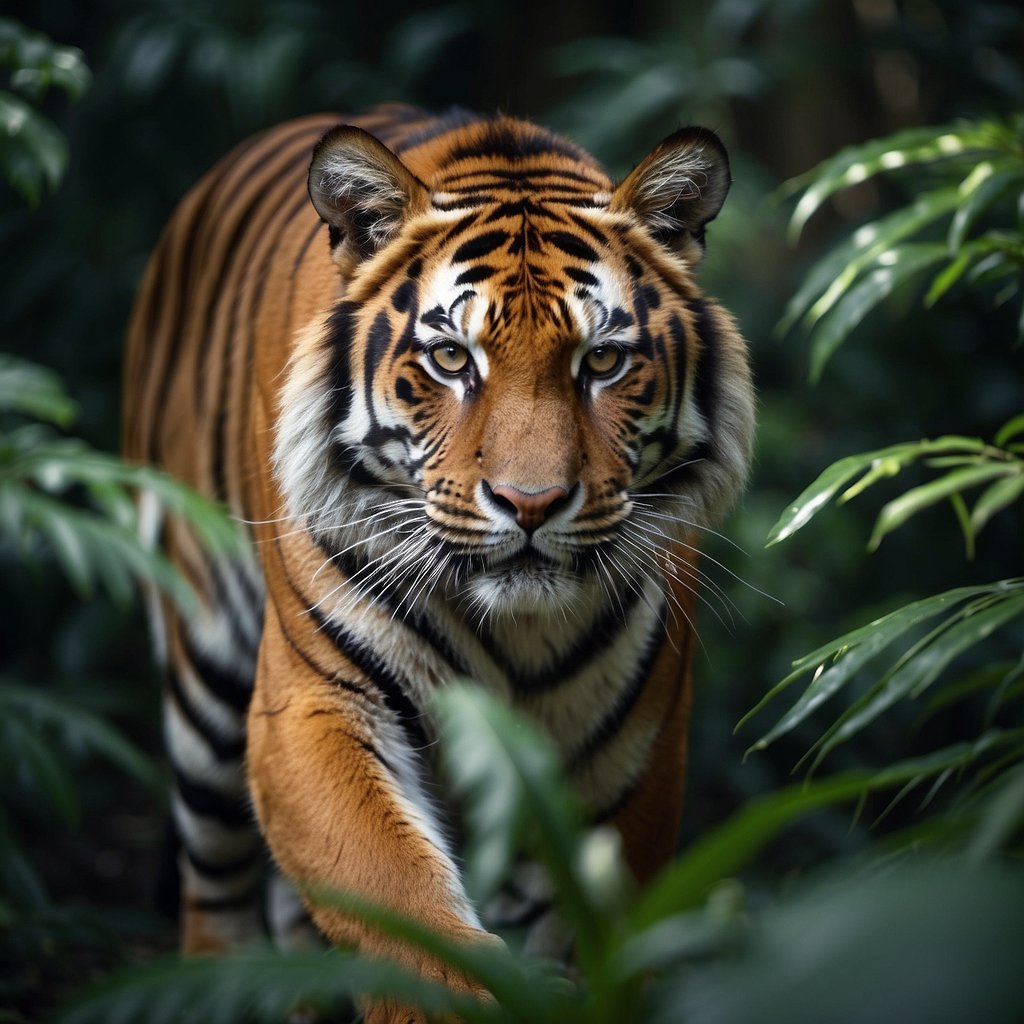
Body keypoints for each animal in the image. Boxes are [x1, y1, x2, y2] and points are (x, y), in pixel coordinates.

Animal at [123, 103, 754, 1022]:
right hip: (203, 667)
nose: (531, 503)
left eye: (601, 361)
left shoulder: (636, 747)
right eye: (453, 359)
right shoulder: (311, 703)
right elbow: (401, 907)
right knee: (213, 890)